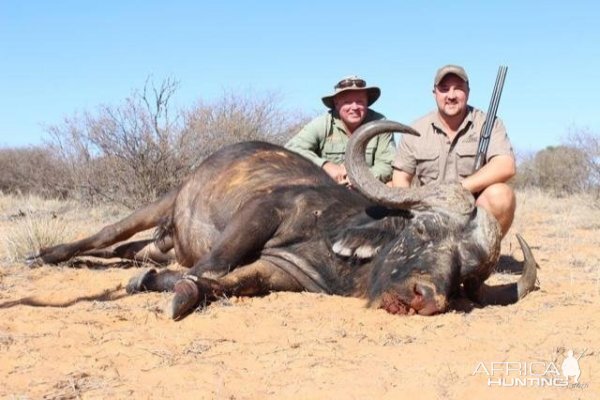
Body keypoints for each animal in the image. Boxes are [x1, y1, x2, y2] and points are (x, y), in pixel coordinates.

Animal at [27, 120, 540, 320]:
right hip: (161, 205)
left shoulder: (284, 274)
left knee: (128, 251)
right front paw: (164, 287)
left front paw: (165, 285)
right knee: (105, 235)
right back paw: (45, 256)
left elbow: (230, 281)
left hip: (159, 239)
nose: (425, 298)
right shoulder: (263, 213)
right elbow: (210, 268)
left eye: (463, 274)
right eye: (422, 230)